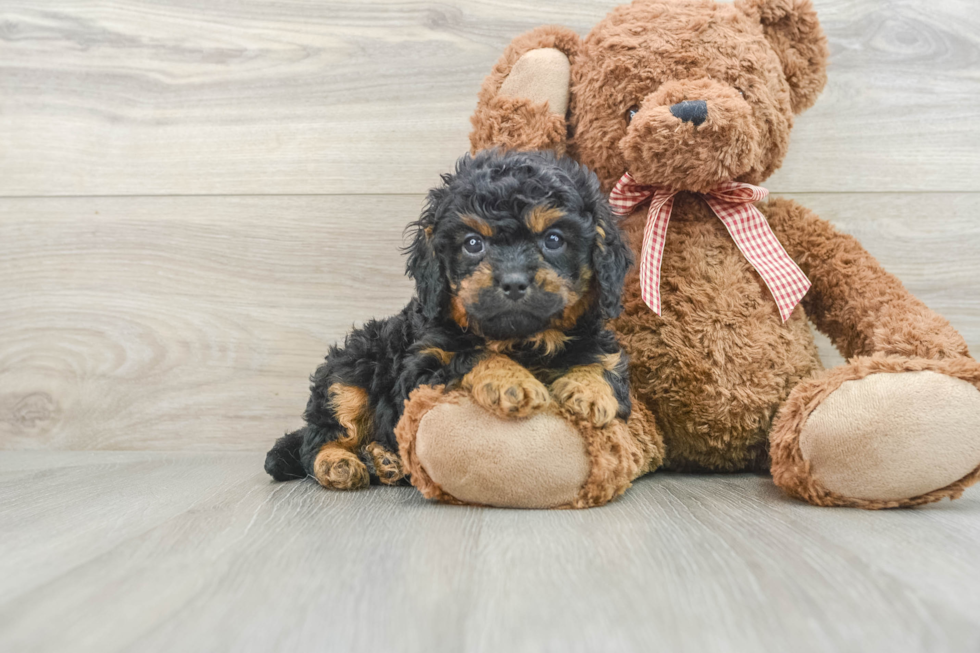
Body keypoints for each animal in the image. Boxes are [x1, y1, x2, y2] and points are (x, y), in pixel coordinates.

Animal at [264, 149, 632, 488]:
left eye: (554, 239)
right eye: (473, 243)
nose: (513, 281)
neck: (521, 340)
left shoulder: (600, 344)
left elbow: (603, 363)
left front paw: (590, 391)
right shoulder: (422, 368)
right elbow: (470, 354)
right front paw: (513, 382)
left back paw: (384, 459)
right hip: (349, 374)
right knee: (319, 438)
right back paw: (338, 463)